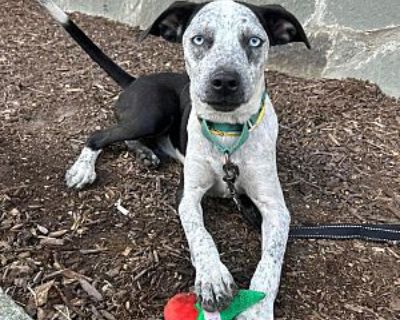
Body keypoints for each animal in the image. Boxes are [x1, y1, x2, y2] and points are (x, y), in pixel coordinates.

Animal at [37, 1, 310, 318]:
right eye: (199, 39)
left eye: (254, 41)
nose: (224, 81)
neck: (227, 134)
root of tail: (136, 80)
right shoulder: (187, 196)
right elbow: (200, 235)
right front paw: (213, 278)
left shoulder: (275, 208)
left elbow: (271, 261)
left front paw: (258, 309)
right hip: (153, 112)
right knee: (99, 135)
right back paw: (84, 169)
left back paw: (145, 154)